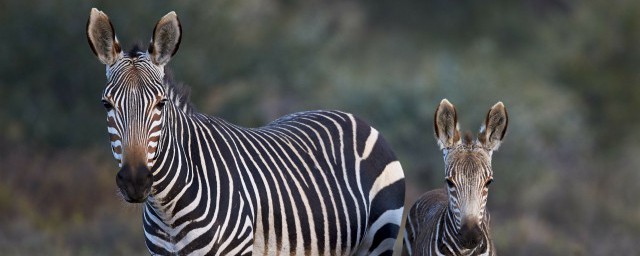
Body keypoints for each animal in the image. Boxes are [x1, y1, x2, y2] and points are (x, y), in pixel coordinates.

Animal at [86, 8, 404, 256]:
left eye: (161, 104)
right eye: (106, 104)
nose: (135, 181)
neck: (168, 208)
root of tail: (353, 117)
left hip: (379, 239)